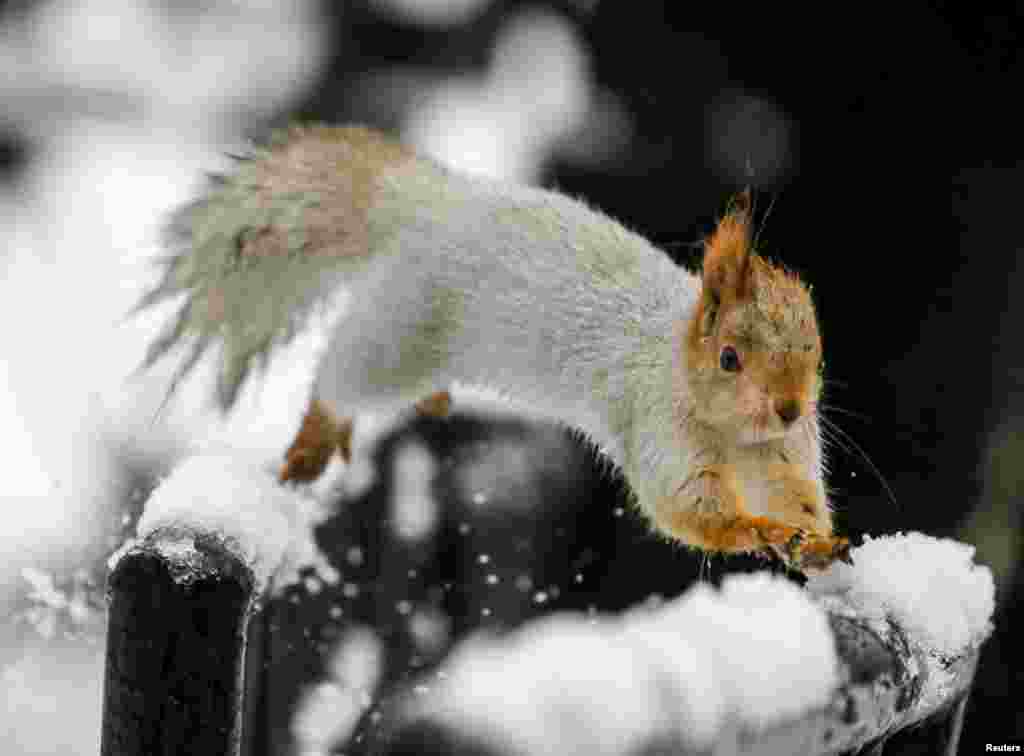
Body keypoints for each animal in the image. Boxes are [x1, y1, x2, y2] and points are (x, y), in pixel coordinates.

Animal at [140, 124, 851, 569]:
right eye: (730, 358)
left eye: (816, 352)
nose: (789, 408)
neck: (735, 434)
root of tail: (425, 200)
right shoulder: (660, 433)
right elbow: (688, 509)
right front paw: (760, 531)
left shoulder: (785, 457)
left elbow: (799, 500)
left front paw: (815, 541)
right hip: (398, 331)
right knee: (342, 377)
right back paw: (320, 431)